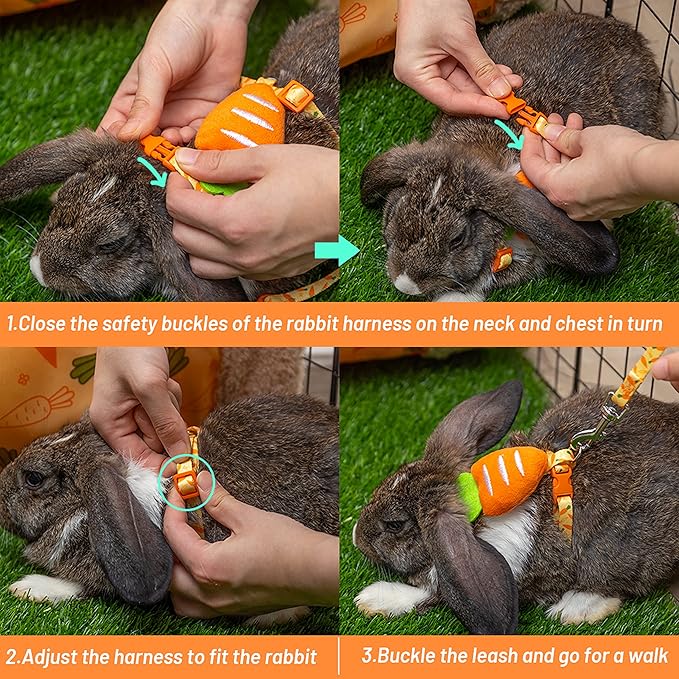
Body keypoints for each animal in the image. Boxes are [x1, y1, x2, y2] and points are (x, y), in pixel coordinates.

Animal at [352, 381, 679, 634]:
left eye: (395, 524)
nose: (356, 536)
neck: (478, 504)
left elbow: (432, 594)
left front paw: (372, 599)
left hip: (617, 554)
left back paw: (573, 609)